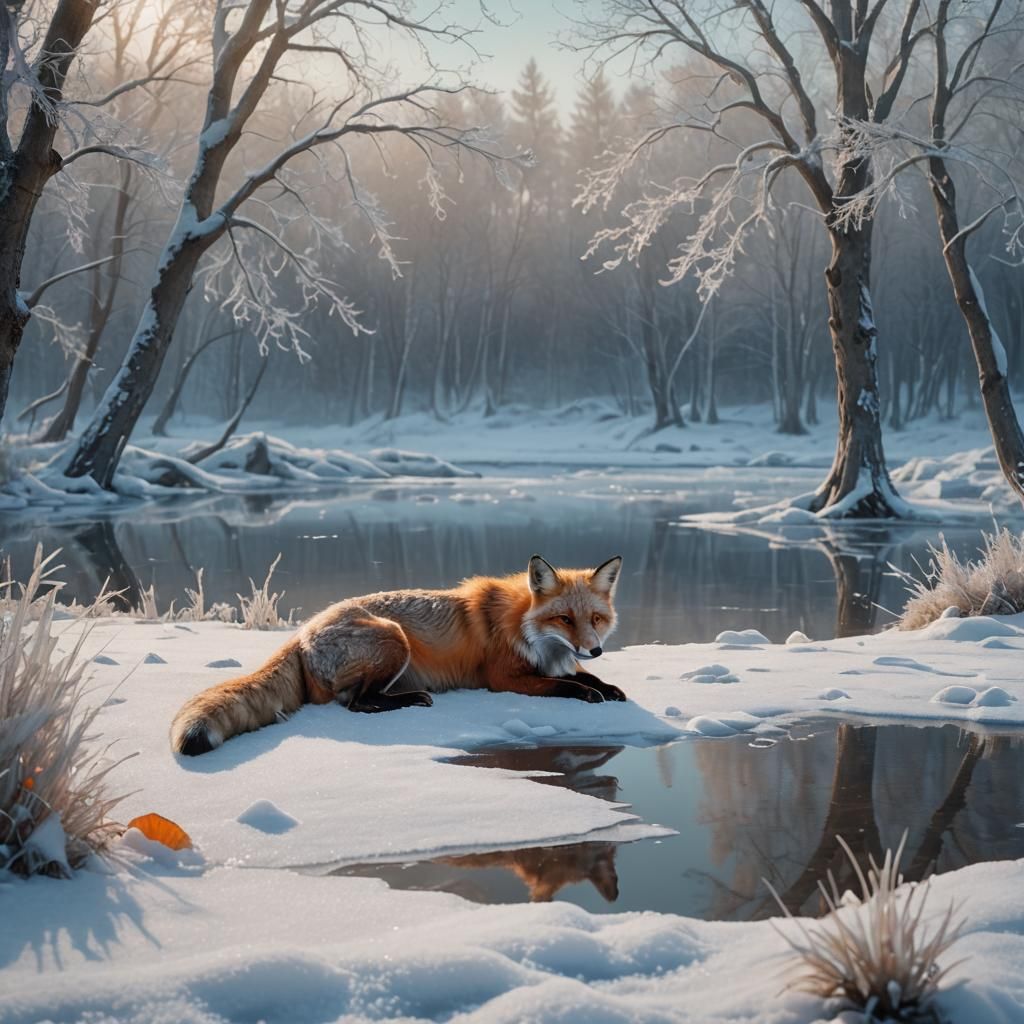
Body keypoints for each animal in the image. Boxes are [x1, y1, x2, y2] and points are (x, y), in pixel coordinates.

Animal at [170, 554, 626, 756]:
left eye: (596, 619)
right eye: (564, 619)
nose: (595, 648)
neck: (524, 628)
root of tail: (303, 631)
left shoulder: (559, 660)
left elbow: (583, 675)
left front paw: (609, 686)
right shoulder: (503, 678)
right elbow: (564, 686)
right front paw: (590, 694)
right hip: (394, 641)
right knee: (356, 703)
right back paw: (412, 700)